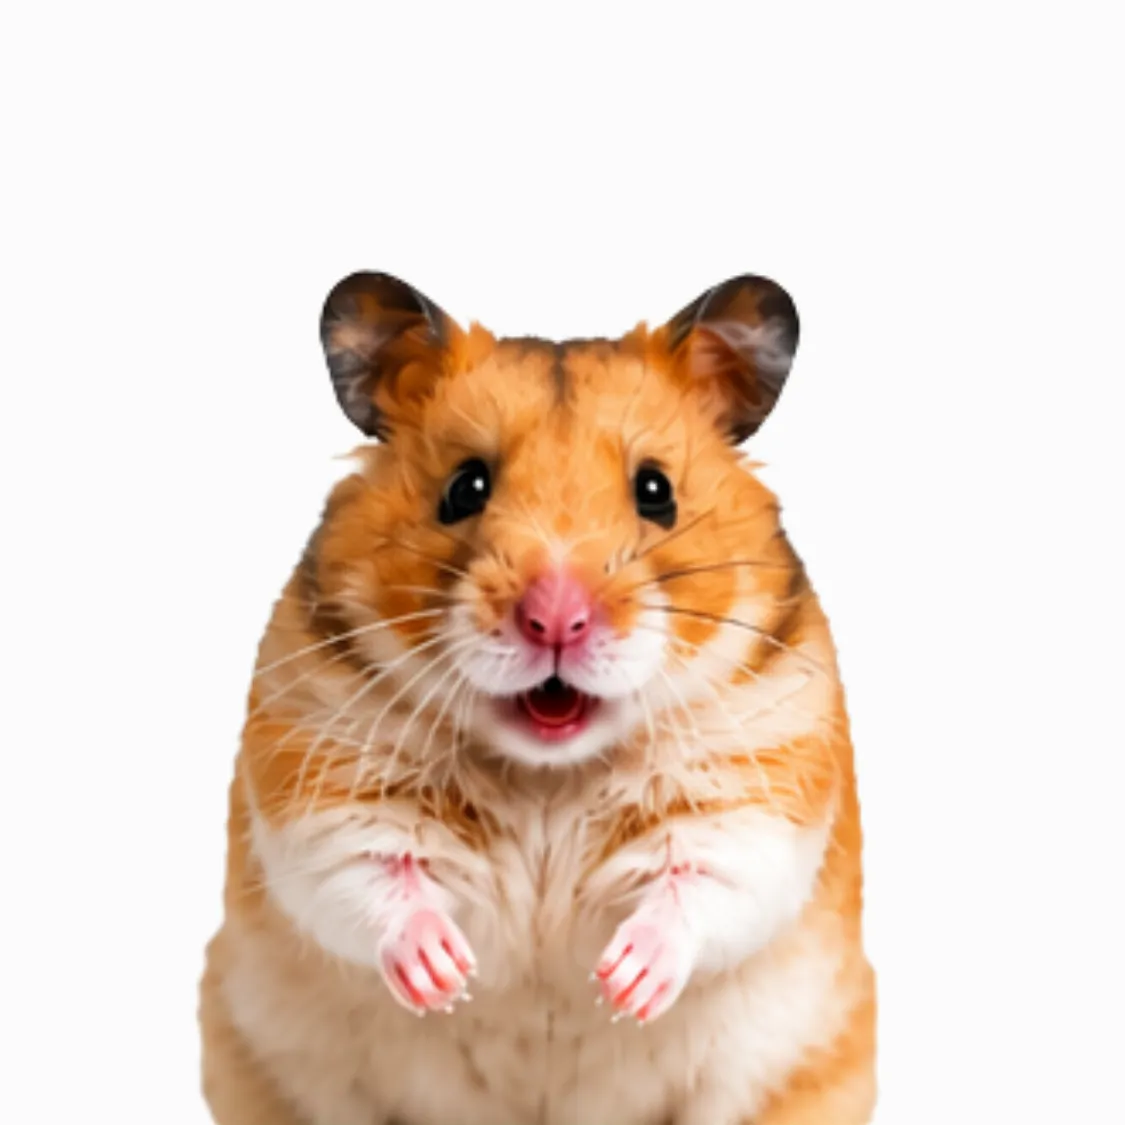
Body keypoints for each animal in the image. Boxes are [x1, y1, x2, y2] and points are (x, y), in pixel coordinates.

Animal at [199, 272, 876, 1125]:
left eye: (655, 490)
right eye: (464, 487)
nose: (555, 620)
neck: (548, 771)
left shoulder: (761, 794)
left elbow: (704, 881)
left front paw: (621, 984)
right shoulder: (315, 783)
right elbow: (368, 869)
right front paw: (444, 976)